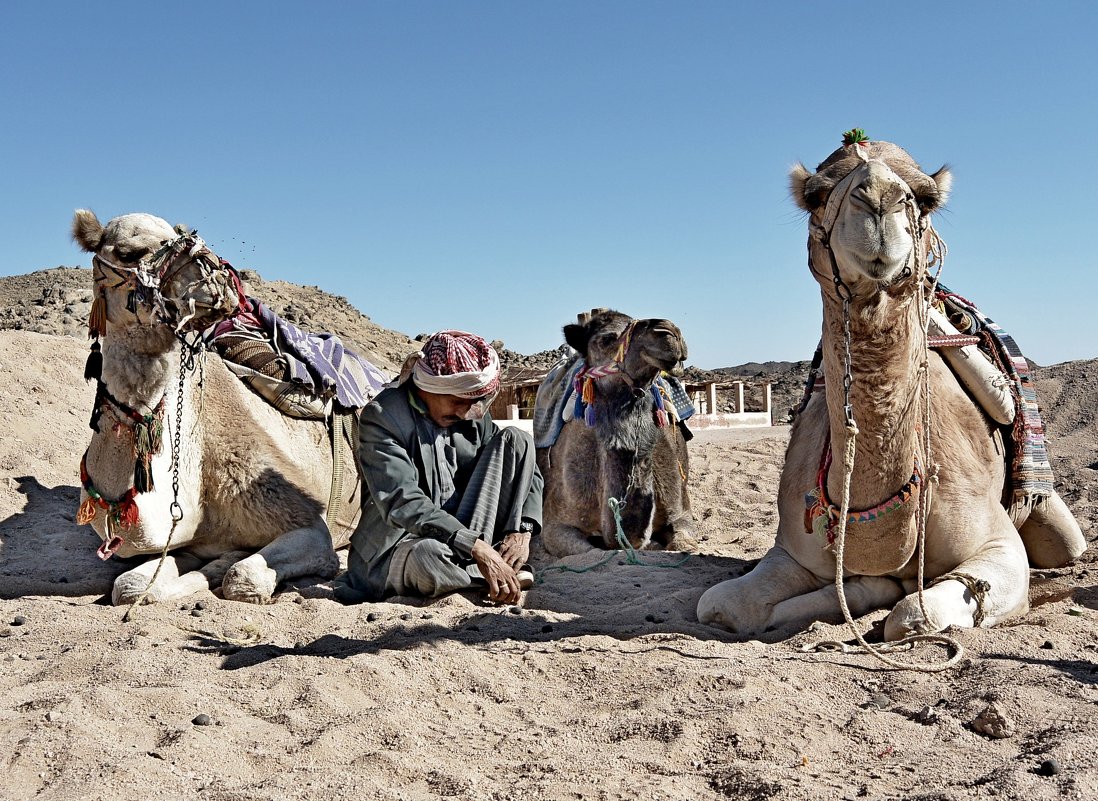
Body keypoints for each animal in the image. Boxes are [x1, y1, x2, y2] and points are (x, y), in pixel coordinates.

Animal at [531, 307, 693, 555]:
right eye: (606, 339)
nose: (669, 332)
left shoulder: (682, 514)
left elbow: (681, 542)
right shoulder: (555, 524)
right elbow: (589, 551)